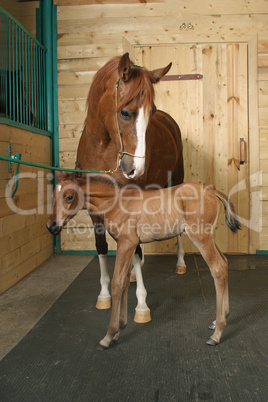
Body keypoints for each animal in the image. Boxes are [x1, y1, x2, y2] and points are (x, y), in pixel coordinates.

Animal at [47, 173, 242, 348]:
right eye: (52, 196)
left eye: (69, 197)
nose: (51, 226)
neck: (115, 202)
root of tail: (212, 191)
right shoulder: (131, 245)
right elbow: (125, 282)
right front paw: (120, 328)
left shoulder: (126, 243)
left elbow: (117, 283)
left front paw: (109, 335)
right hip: (208, 238)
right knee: (224, 262)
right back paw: (221, 318)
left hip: (201, 237)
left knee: (218, 268)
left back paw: (217, 333)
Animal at [74, 53, 185, 322]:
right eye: (125, 113)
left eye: (151, 112)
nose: (136, 168)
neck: (102, 152)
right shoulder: (94, 210)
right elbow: (102, 246)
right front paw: (104, 295)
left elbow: (133, 251)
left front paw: (142, 306)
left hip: (174, 180)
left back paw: (180, 263)